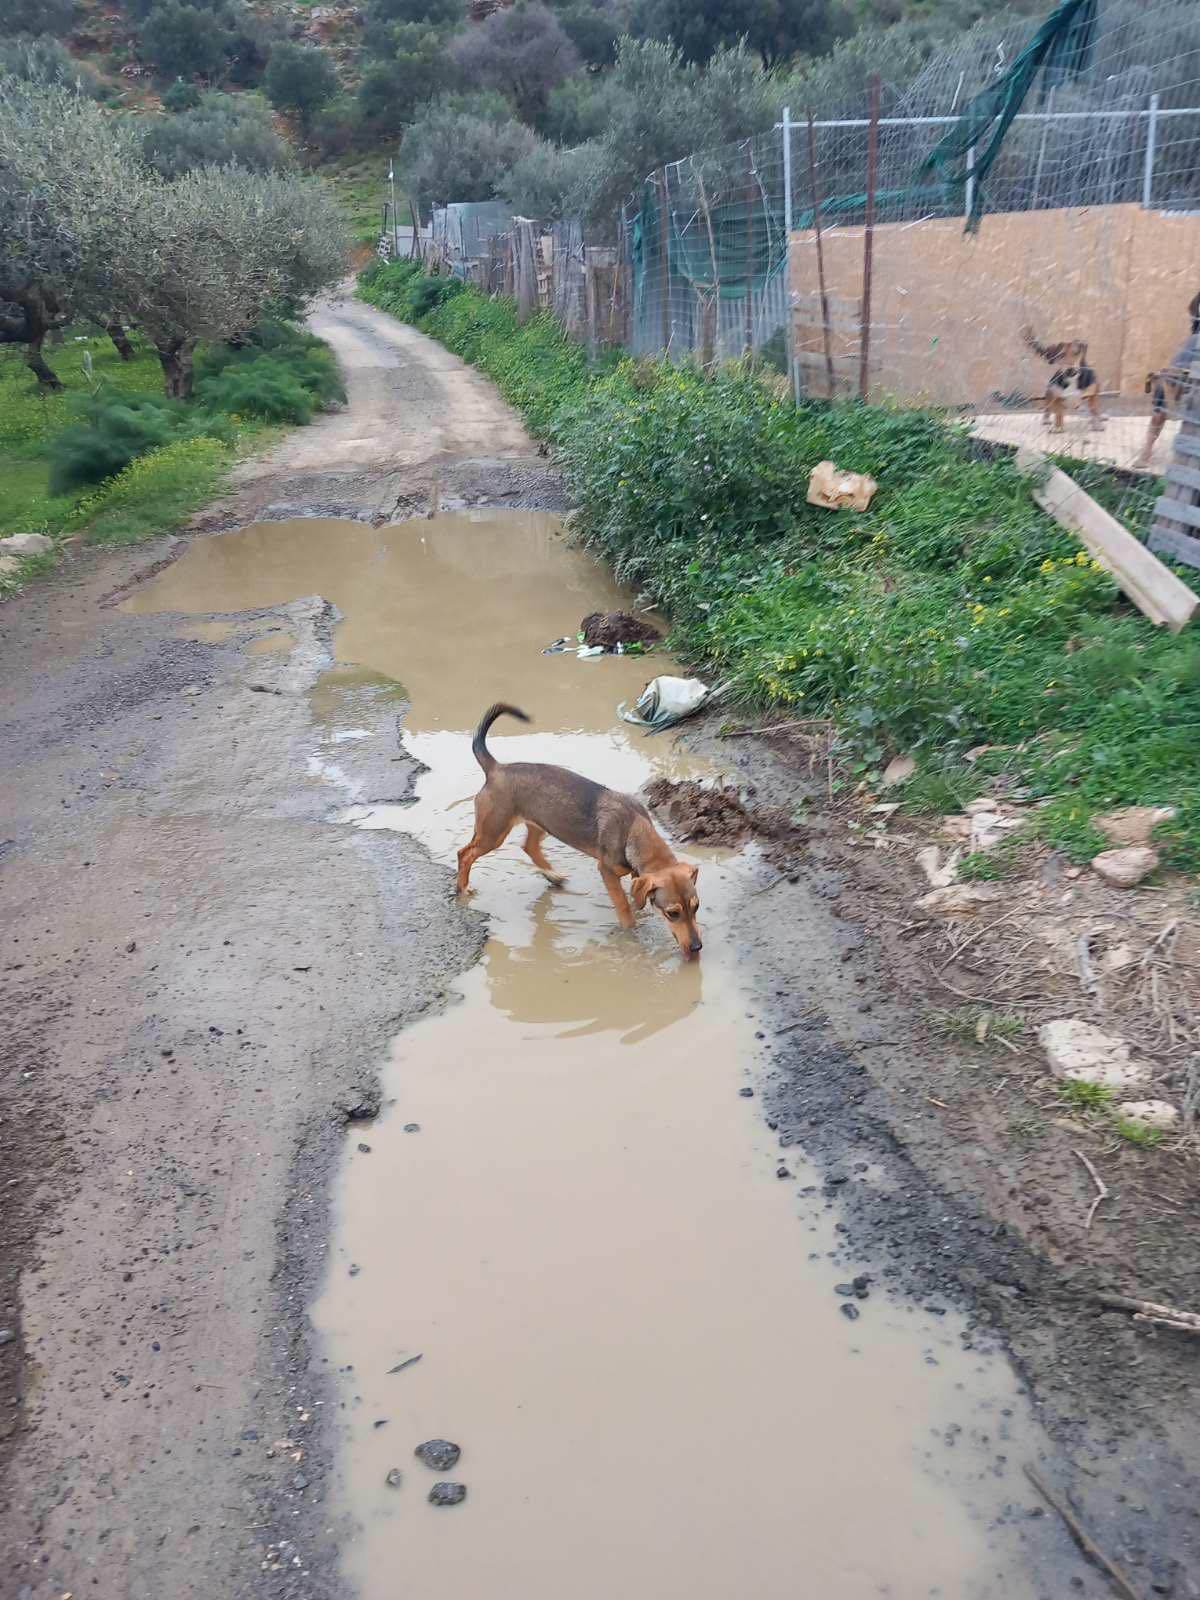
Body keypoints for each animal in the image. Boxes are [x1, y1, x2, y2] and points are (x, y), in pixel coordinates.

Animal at [457, 704, 704, 953]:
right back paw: (463, 889)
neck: (632, 829)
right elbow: (623, 906)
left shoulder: (637, 875)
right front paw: (629, 935)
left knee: (529, 846)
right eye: (673, 913)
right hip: (493, 833)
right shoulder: (606, 871)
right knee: (465, 854)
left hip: (542, 822)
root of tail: (496, 768)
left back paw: (553, 876)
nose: (696, 948)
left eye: (696, 907)